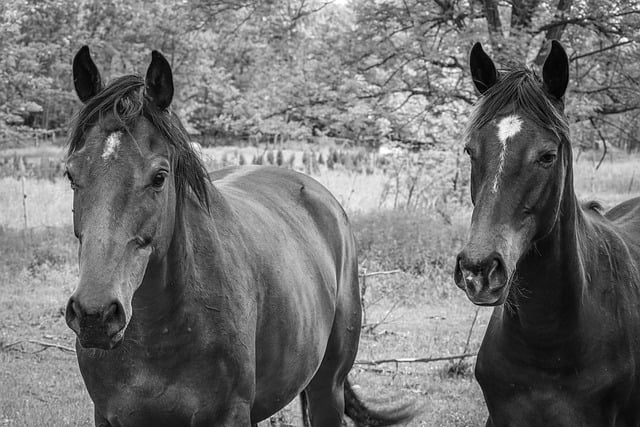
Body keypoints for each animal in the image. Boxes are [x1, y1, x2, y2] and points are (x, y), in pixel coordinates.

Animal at [64, 46, 414, 427]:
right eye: (71, 174)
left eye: (159, 177)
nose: (96, 314)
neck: (158, 337)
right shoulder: (107, 416)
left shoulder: (230, 414)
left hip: (327, 389)